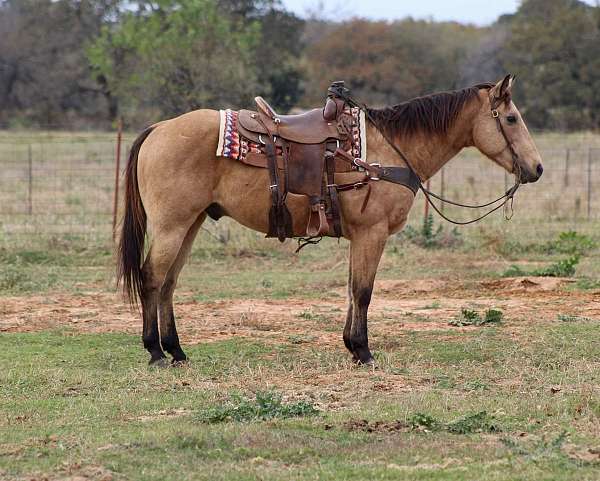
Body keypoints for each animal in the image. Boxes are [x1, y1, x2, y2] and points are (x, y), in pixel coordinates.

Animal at [116, 75, 544, 366]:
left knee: (169, 283)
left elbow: (352, 289)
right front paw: (364, 352)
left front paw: (352, 347)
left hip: (190, 224)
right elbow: (363, 292)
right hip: (172, 226)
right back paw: (155, 352)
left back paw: (177, 350)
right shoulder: (372, 234)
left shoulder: (360, 237)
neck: (389, 151)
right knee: (152, 278)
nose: (537, 168)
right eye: (510, 118)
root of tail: (159, 128)